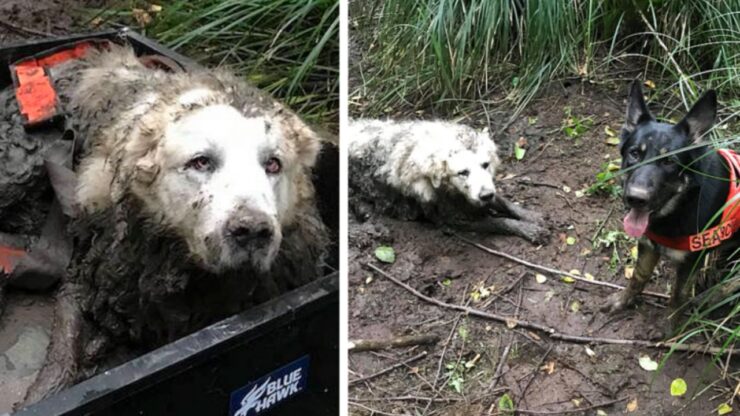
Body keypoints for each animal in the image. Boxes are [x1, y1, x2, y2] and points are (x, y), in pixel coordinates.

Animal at [348, 119, 548, 244]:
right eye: (463, 172)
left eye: (485, 165)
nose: (485, 195)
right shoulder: (451, 219)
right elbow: (497, 222)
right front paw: (530, 229)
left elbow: (504, 202)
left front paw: (532, 216)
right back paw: (364, 232)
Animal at [600, 81, 740, 328]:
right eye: (634, 153)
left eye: (668, 161)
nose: (636, 198)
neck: (680, 206)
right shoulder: (648, 245)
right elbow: (638, 277)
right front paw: (623, 301)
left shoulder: (689, 263)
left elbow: (677, 296)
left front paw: (670, 328)